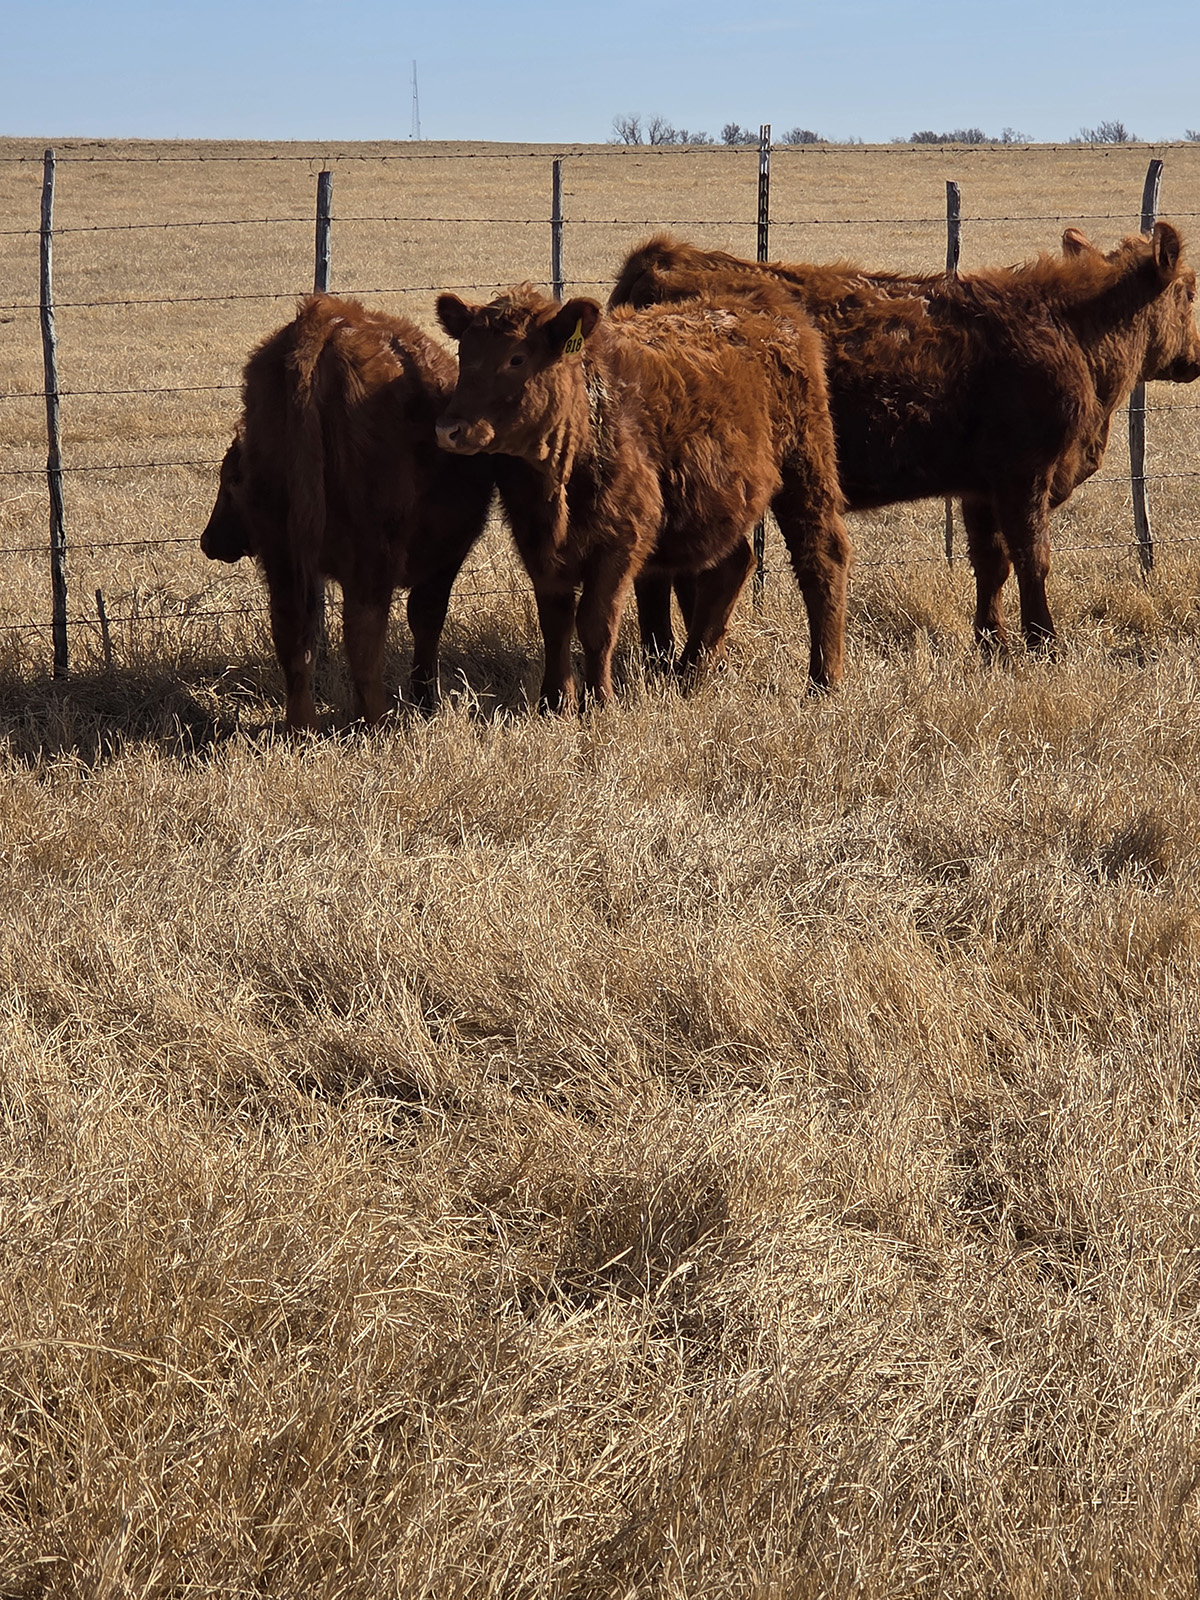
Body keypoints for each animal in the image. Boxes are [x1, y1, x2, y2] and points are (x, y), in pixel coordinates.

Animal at [200, 294, 495, 731]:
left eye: (231, 481)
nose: (209, 541)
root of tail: (323, 318)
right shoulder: (445, 557)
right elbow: (426, 620)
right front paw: (426, 703)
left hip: (282, 552)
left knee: (291, 632)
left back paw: (303, 727)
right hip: (372, 553)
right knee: (362, 632)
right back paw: (377, 722)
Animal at [433, 285, 851, 709]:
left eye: (516, 358)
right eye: (464, 353)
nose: (449, 429)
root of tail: (765, 307)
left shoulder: (621, 538)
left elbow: (596, 622)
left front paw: (598, 700)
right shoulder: (536, 542)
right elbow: (555, 622)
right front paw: (554, 702)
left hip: (806, 464)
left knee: (822, 558)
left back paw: (823, 679)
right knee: (732, 565)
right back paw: (691, 671)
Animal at [609, 224, 1200, 652]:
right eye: (1190, 291)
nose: (1195, 358)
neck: (1069, 329)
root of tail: (662, 258)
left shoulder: (980, 489)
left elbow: (992, 563)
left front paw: (993, 645)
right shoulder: (1025, 475)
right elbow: (1033, 558)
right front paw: (1044, 645)